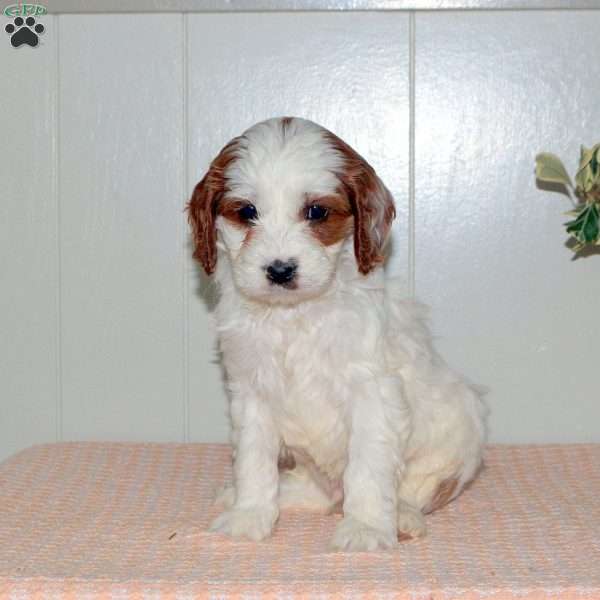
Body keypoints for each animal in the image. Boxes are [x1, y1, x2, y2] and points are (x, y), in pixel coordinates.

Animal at [188, 115, 488, 552]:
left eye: (316, 211)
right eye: (247, 212)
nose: (280, 270)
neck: (294, 315)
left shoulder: (372, 392)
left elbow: (368, 467)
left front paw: (366, 528)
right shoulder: (252, 392)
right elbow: (253, 460)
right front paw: (250, 514)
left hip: (460, 429)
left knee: (419, 487)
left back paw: (403, 517)